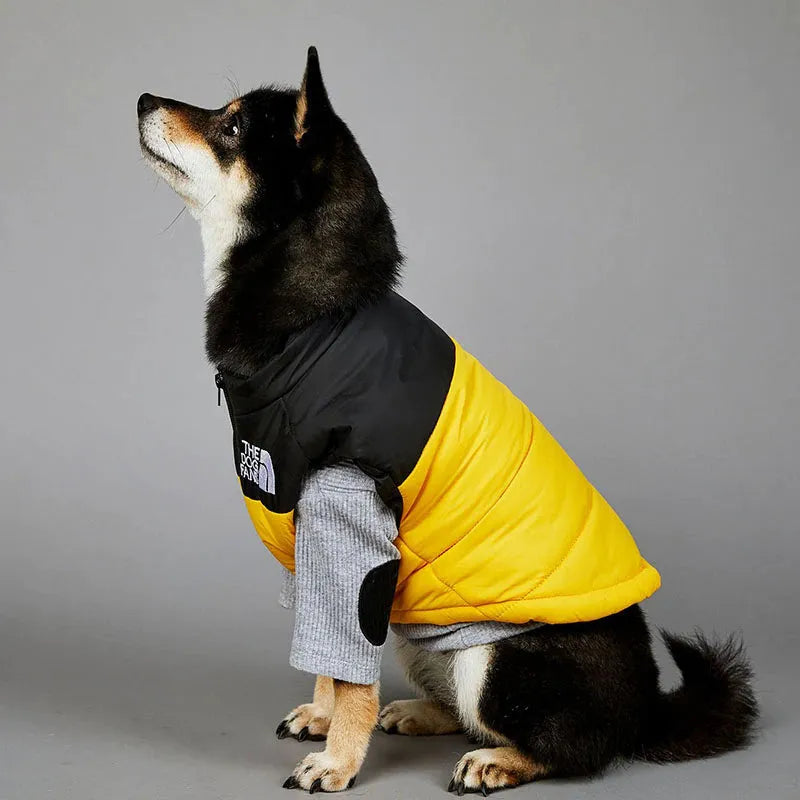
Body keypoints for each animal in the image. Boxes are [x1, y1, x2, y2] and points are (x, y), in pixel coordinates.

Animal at [139, 48, 764, 792]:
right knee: (462, 709)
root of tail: (646, 708)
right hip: (421, 634)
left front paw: (339, 763)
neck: (319, 321)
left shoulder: (352, 528)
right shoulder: (312, 540)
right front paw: (323, 719)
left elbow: (351, 674)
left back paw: (498, 761)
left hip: (495, 663)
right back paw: (419, 714)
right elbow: (328, 658)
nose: (143, 98)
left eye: (231, 127)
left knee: (571, 746)